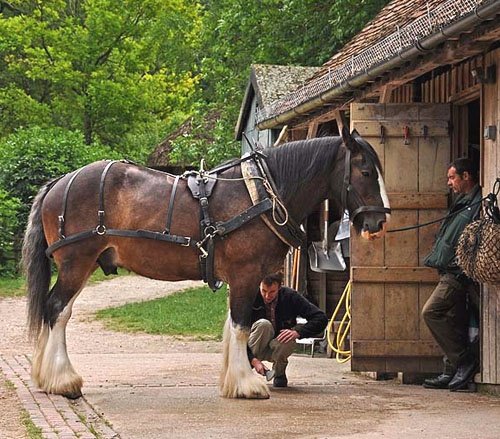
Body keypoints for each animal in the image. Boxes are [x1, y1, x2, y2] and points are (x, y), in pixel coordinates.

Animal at [21, 129, 390, 400]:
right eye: (366, 171)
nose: (380, 222)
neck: (261, 194)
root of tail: (59, 182)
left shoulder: (242, 278)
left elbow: (234, 325)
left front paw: (232, 380)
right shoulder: (244, 273)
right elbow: (241, 326)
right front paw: (246, 384)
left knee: (56, 310)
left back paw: (47, 376)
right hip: (76, 263)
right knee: (57, 310)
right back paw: (63, 380)